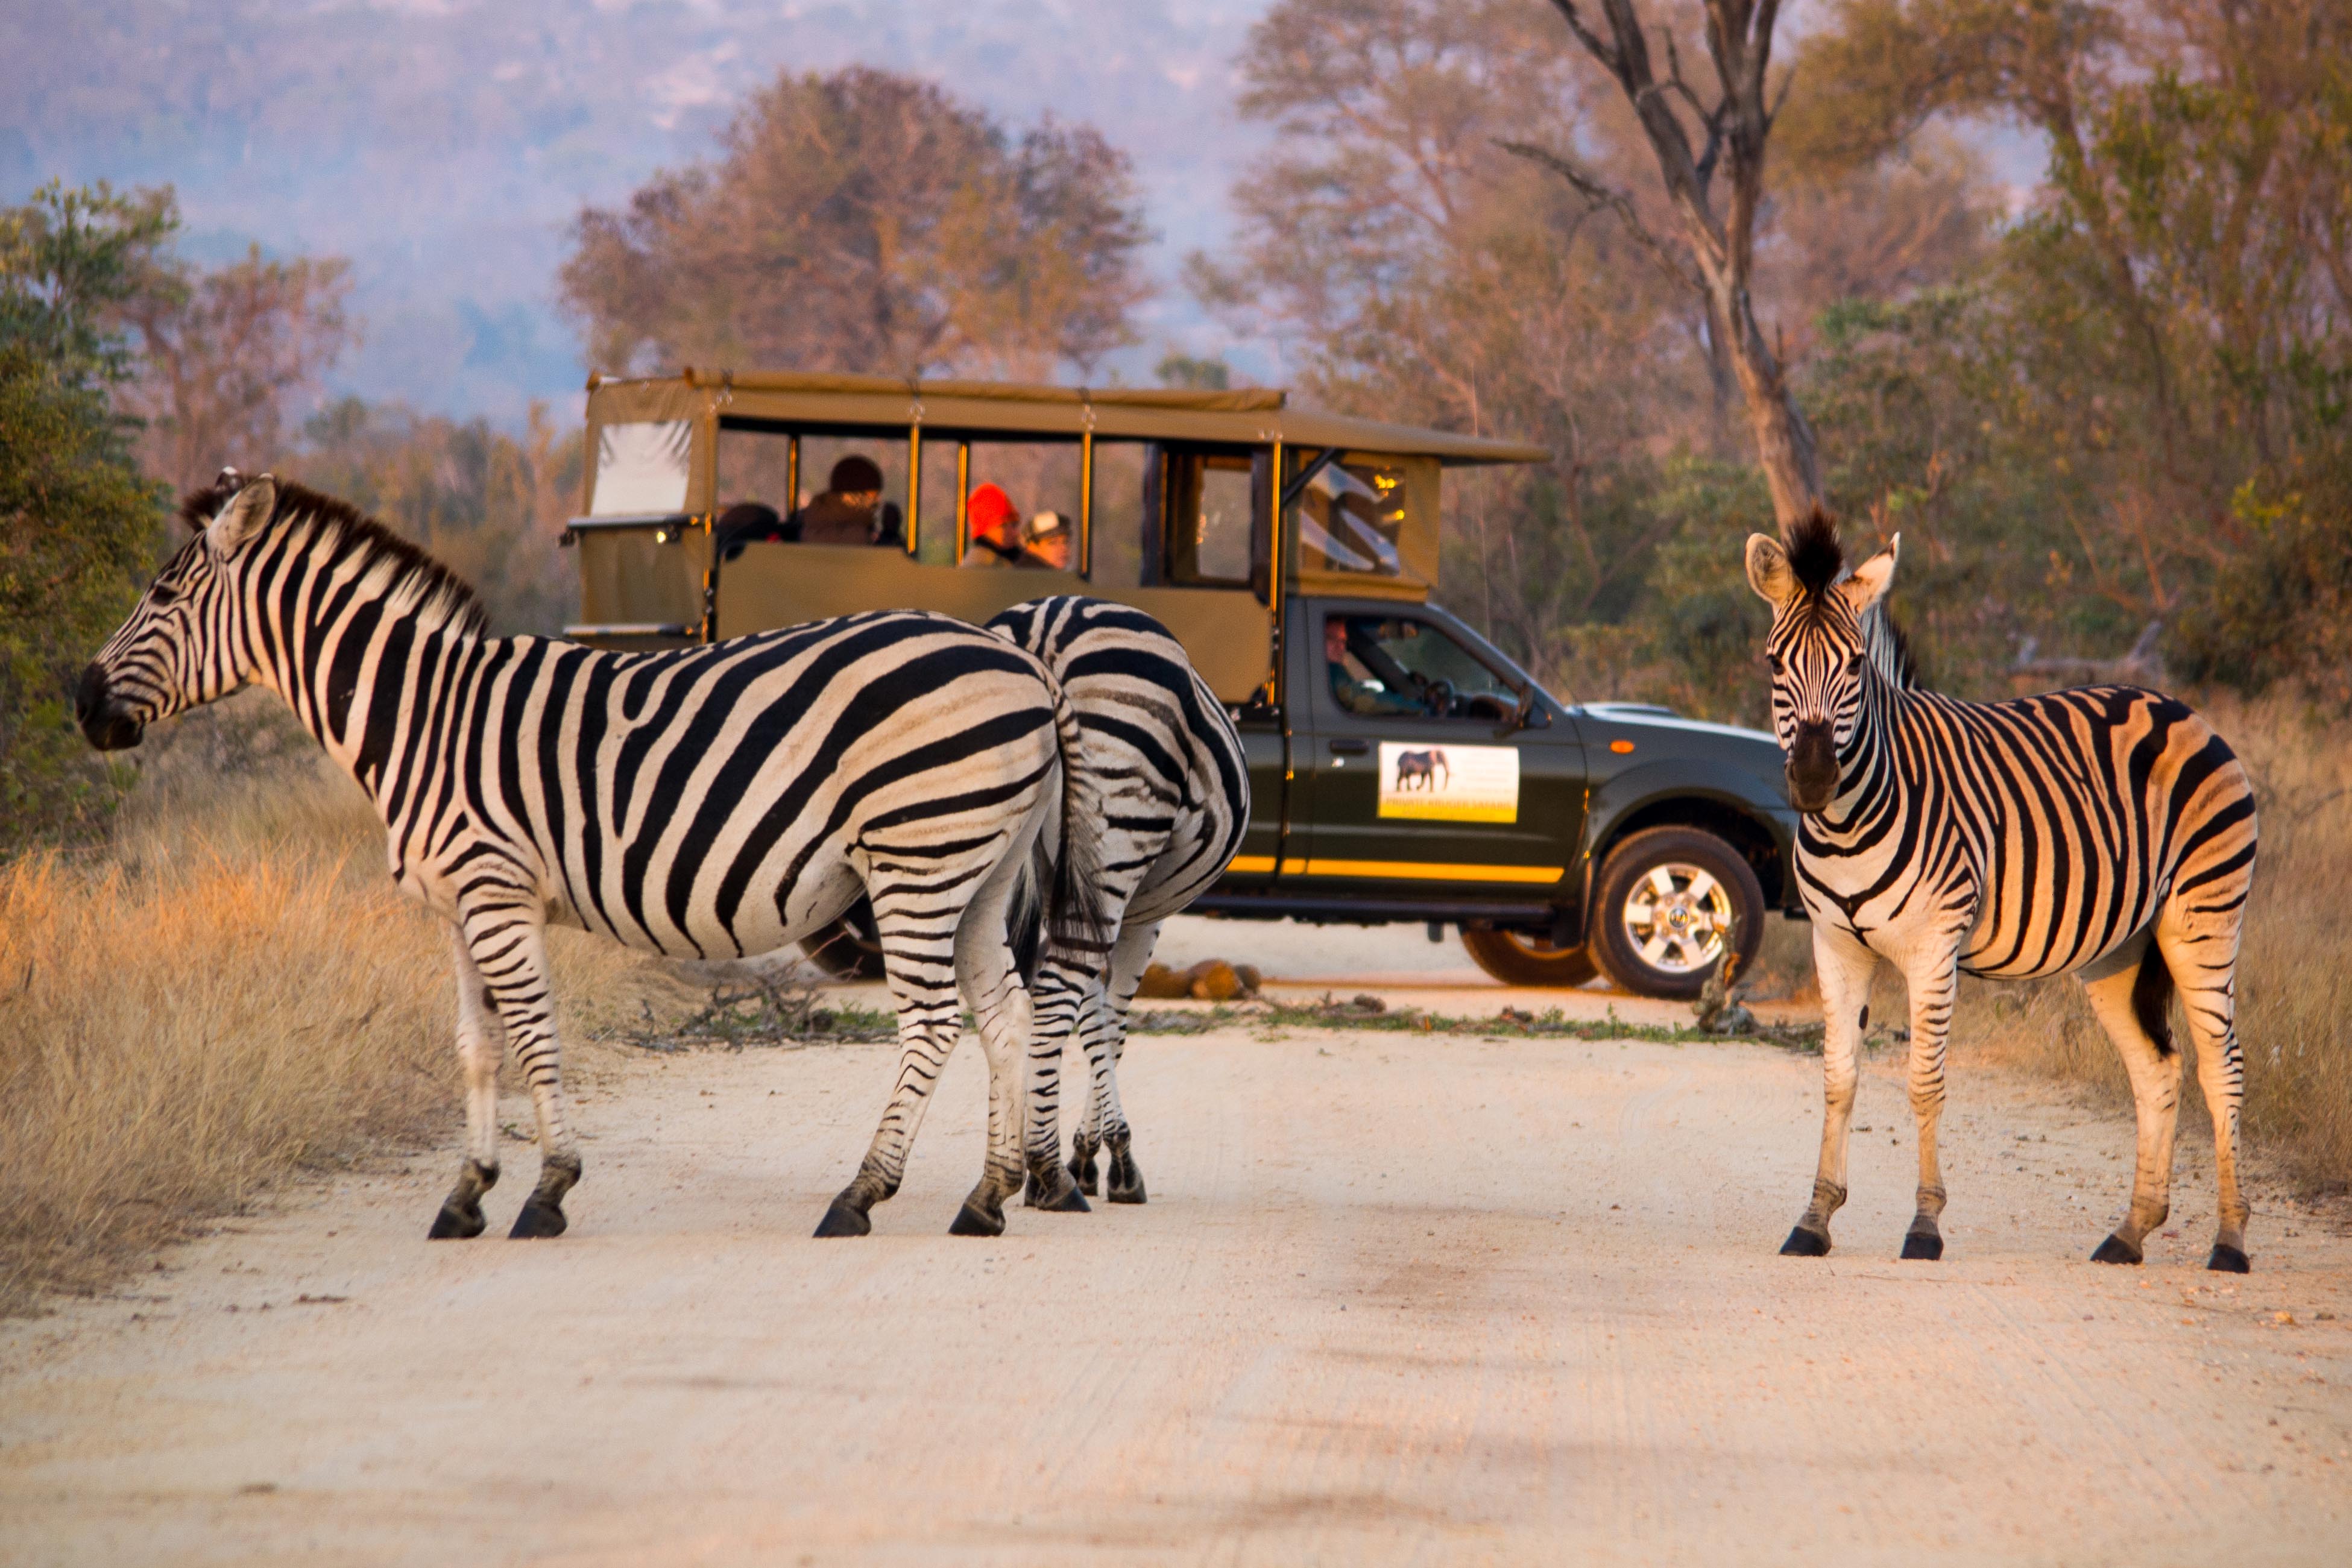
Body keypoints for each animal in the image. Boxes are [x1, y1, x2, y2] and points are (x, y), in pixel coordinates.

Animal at [73, 472, 1100, 1241]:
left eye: (161, 597)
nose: (80, 703)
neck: (423, 718)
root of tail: (1023, 664)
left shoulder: (496, 891)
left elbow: (534, 1035)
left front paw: (547, 1188)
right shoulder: (458, 907)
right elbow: (477, 1044)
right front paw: (467, 1193)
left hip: (915, 859)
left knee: (932, 1021)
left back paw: (860, 1195)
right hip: (978, 869)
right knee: (1004, 1012)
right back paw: (986, 1197)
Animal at [983, 594, 1251, 1213]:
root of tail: (1047, 623)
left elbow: (1093, 1015)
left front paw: (1084, 1152)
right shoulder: (1140, 916)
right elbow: (1112, 1022)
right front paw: (1106, 1158)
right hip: (1116, 835)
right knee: (1053, 993)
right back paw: (1048, 1173)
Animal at [1750, 515, 2257, 1279]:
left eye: (1853, 667)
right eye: (1777, 664)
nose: (1812, 780)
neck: (1848, 820)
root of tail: (2177, 708)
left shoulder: (1934, 946)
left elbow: (1924, 1082)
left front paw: (1924, 1227)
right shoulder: (1833, 944)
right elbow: (1838, 1078)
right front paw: (1813, 1221)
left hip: (2203, 918)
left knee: (2221, 1070)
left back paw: (2228, 1243)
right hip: (2119, 952)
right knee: (2156, 1070)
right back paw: (2129, 1233)